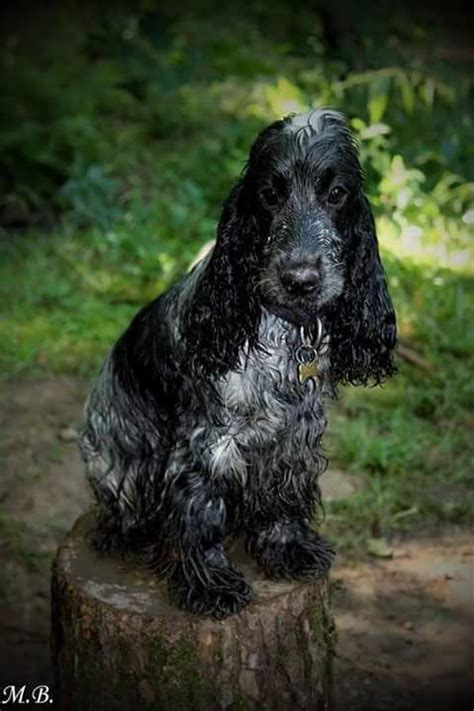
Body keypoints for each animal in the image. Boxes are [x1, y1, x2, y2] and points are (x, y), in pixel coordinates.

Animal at [78, 110, 396, 616]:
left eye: (336, 193)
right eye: (269, 195)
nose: (299, 279)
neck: (286, 330)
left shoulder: (294, 437)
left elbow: (284, 497)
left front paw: (288, 549)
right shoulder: (208, 443)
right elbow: (201, 513)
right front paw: (210, 584)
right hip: (117, 462)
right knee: (123, 514)